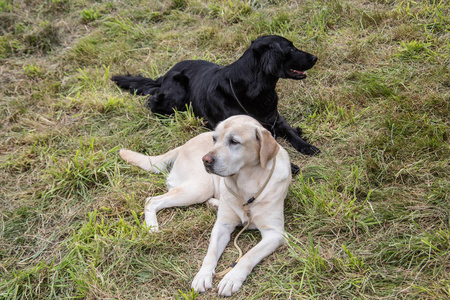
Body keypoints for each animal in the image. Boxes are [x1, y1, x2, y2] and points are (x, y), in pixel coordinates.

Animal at [114, 35, 322, 156]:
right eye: (291, 49)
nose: (315, 57)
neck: (257, 91)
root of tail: (164, 75)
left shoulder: (275, 118)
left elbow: (290, 132)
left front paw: (306, 145)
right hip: (177, 90)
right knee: (152, 102)